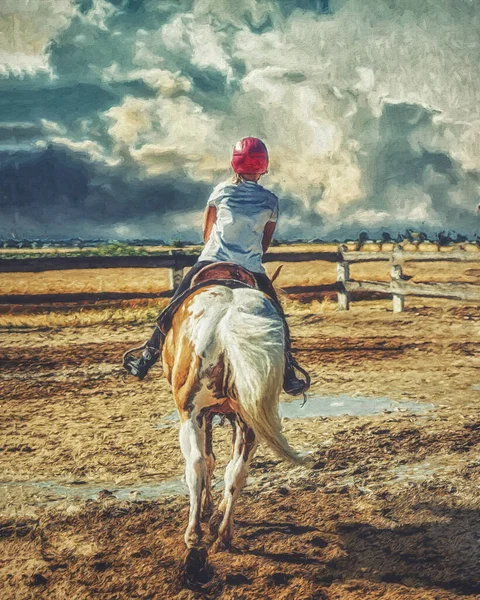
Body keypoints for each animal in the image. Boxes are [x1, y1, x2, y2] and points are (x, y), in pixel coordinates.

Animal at [162, 282, 304, 572]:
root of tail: (229, 317)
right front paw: (214, 513)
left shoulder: (202, 415)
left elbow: (208, 459)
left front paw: (207, 509)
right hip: (250, 421)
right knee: (237, 472)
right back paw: (223, 535)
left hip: (190, 415)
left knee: (196, 464)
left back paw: (193, 533)